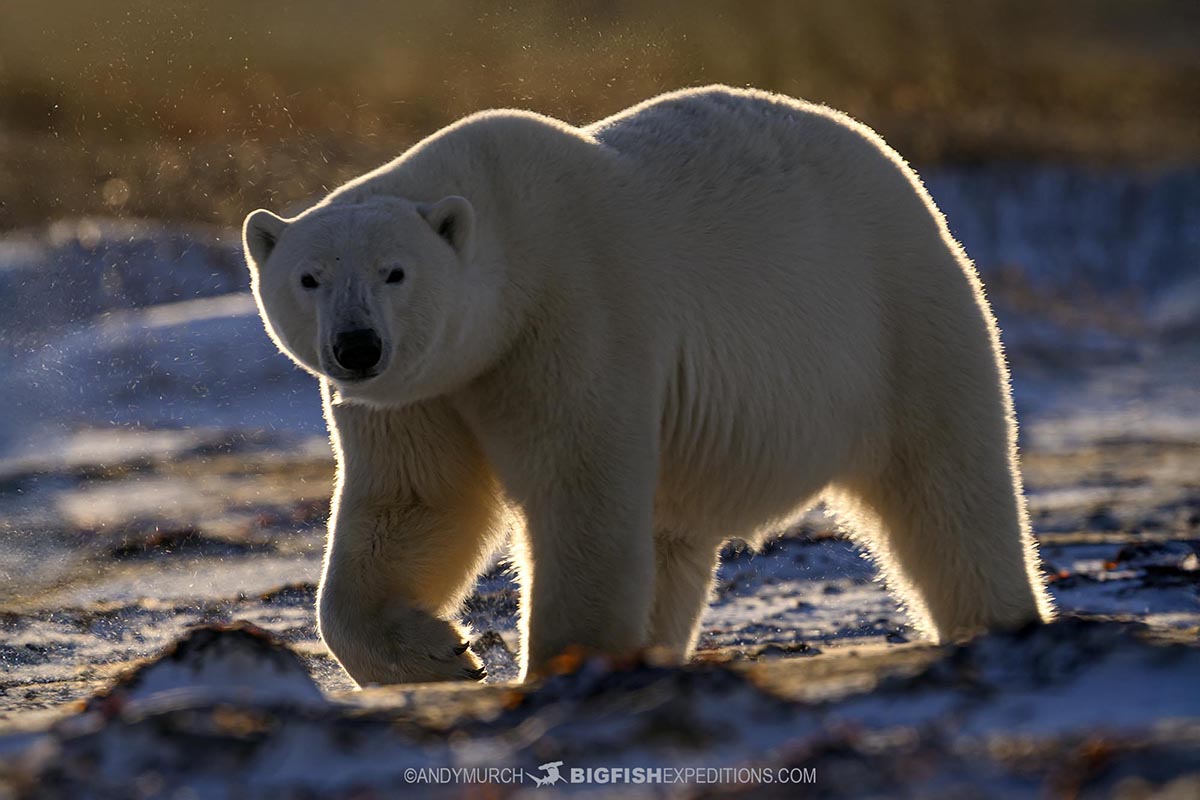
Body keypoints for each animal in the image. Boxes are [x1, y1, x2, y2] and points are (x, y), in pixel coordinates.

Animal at [243, 85, 1054, 686]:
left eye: (395, 272)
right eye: (310, 278)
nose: (357, 346)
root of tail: (902, 173)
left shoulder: (574, 313)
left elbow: (579, 488)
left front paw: (560, 664)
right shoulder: (427, 390)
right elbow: (415, 502)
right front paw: (442, 654)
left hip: (898, 316)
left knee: (947, 489)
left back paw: (999, 621)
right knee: (673, 543)